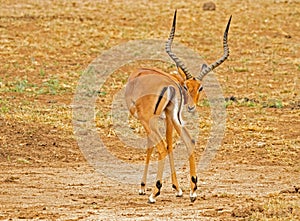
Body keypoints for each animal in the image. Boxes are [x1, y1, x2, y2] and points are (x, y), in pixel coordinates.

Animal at [124, 10, 232, 204]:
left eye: (200, 88)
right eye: (188, 87)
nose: (191, 107)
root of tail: (169, 84)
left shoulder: (151, 120)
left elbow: (153, 145)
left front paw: (143, 187)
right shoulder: (168, 116)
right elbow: (169, 143)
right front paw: (178, 188)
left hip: (149, 120)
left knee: (160, 147)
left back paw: (154, 193)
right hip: (174, 117)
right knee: (188, 141)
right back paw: (193, 191)